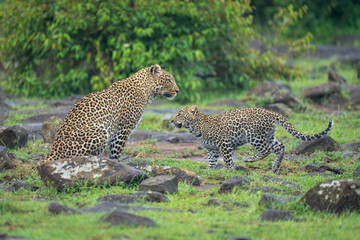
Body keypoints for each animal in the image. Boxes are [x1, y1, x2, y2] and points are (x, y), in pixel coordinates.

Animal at [46, 63, 179, 161]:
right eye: (168, 80)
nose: (178, 90)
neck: (147, 91)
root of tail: (53, 153)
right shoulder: (123, 128)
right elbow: (116, 151)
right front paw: (116, 164)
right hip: (101, 131)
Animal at [170, 105, 334, 172]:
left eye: (179, 114)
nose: (171, 121)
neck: (195, 128)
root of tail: (271, 112)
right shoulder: (212, 150)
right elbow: (211, 162)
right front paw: (210, 171)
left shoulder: (224, 143)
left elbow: (228, 159)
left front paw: (229, 170)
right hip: (268, 136)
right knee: (280, 146)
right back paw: (275, 167)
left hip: (254, 135)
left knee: (266, 150)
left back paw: (249, 159)